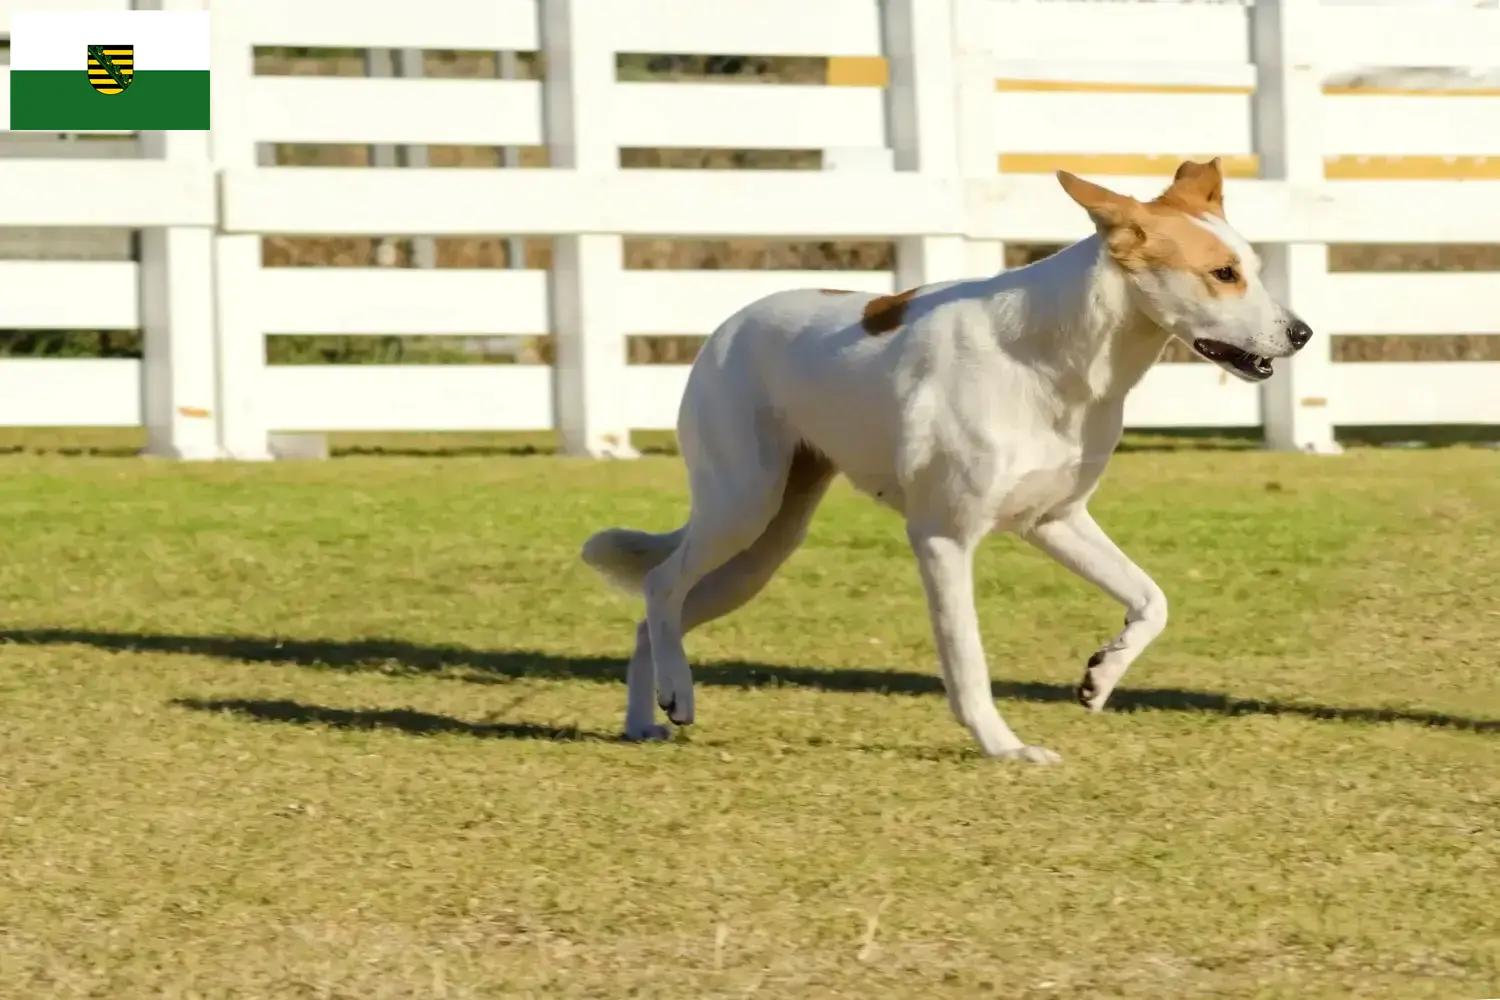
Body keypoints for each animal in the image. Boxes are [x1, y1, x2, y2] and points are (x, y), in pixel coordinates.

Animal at [582, 158, 1314, 767]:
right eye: (1223, 274)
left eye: (1253, 267)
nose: (1302, 333)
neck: (1053, 355)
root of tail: (726, 328)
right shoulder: (942, 539)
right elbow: (968, 661)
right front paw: (1005, 747)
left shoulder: (1055, 519)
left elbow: (1152, 599)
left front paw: (1101, 675)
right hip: (742, 505)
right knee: (661, 585)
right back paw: (677, 694)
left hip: (764, 549)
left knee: (654, 612)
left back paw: (646, 719)